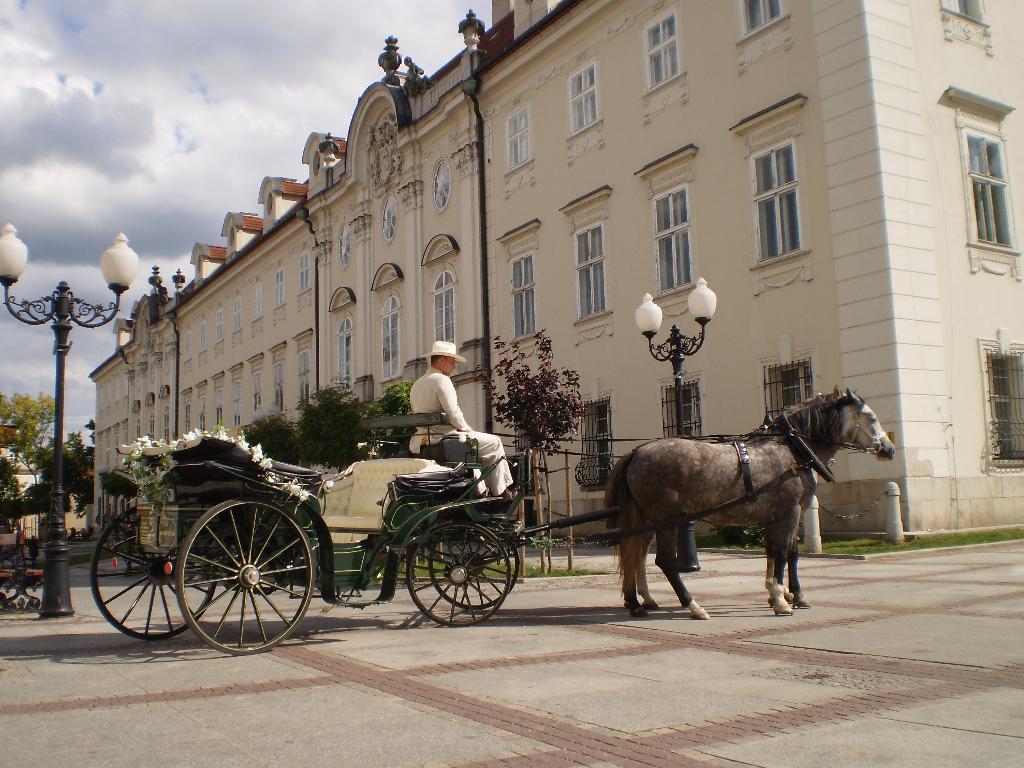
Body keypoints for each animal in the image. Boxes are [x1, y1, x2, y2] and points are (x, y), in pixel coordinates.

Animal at [602, 391, 892, 618]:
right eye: (871, 418)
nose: (889, 449)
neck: (792, 449)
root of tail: (637, 452)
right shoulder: (790, 512)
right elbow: (785, 553)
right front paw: (783, 599)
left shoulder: (776, 516)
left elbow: (778, 551)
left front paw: (782, 593)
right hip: (666, 520)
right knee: (663, 561)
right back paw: (692, 605)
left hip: (645, 519)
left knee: (635, 554)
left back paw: (638, 602)